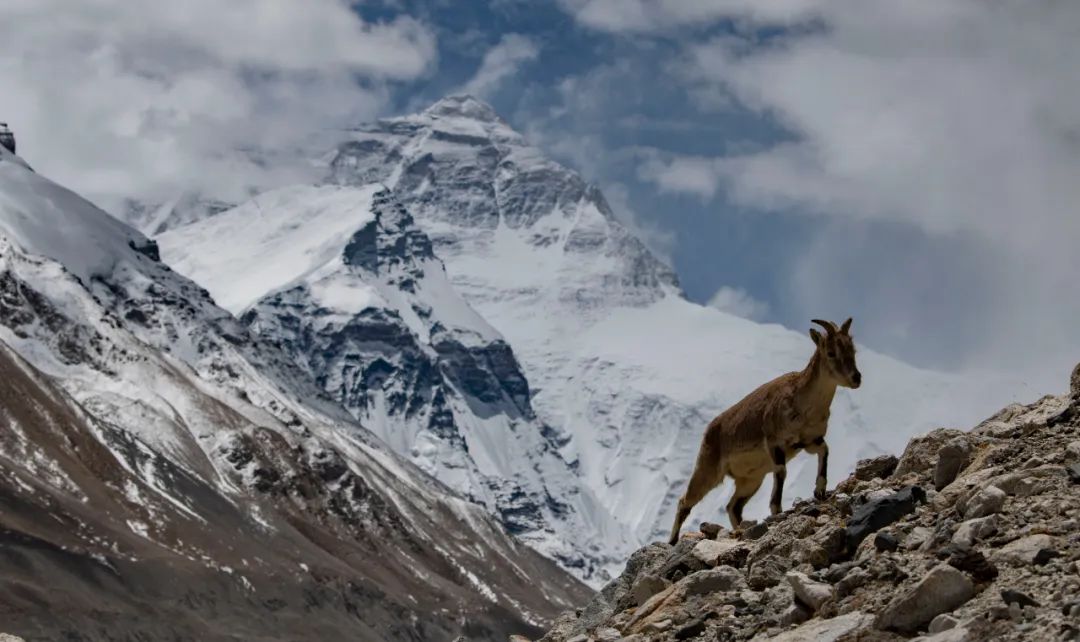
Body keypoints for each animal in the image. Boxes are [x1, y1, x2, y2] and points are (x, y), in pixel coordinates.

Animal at [665, 315, 859, 540]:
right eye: (831, 352)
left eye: (852, 350)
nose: (856, 378)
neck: (802, 403)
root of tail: (710, 430)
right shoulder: (775, 442)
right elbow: (781, 473)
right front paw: (777, 510)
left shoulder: (810, 440)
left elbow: (824, 450)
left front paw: (819, 490)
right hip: (708, 470)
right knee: (685, 502)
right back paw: (672, 541)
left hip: (751, 479)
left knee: (733, 506)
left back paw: (740, 530)